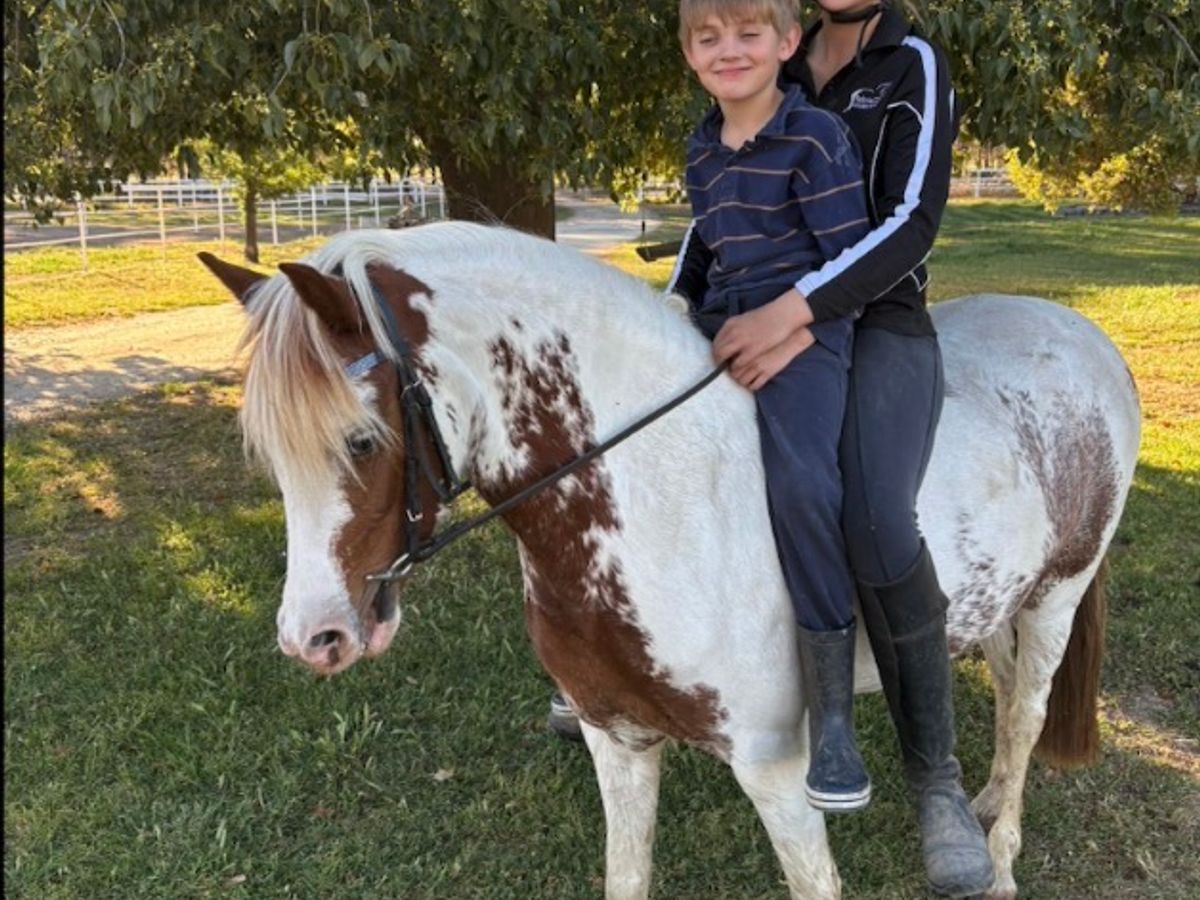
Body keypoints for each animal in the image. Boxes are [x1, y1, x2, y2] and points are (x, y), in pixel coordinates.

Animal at [199, 222, 1140, 900]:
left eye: (362, 440)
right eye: (270, 456)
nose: (314, 637)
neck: (661, 502)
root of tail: (1080, 333)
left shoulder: (775, 771)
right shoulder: (616, 743)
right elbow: (628, 875)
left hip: (1059, 595)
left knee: (1026, 714)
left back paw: (995, 857)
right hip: (1000, 605)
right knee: (1004, 690)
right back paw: (978, 804)